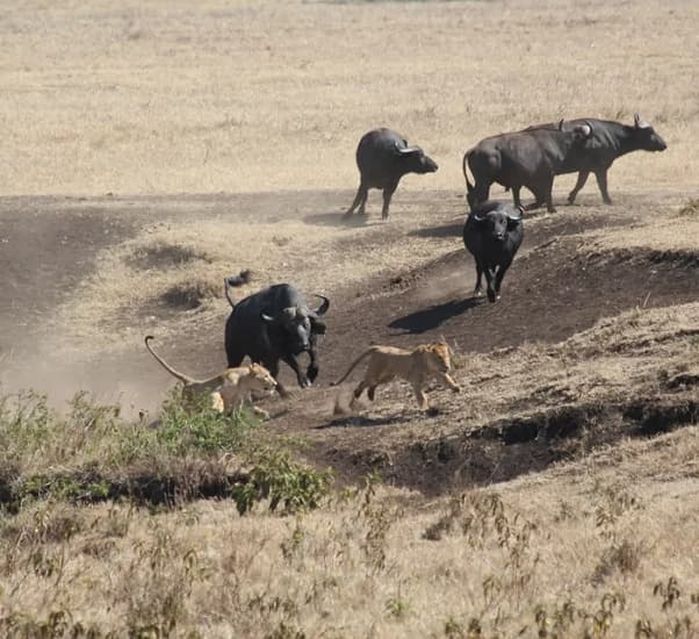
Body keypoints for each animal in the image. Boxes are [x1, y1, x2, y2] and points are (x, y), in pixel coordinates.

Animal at [462, 122, 592, 215]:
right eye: (582, 138)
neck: (557, 141)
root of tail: (474, 149)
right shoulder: (548, 175)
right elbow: (547, 193)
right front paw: (551, 209)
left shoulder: (527, 181)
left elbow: (537, 197)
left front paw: (526, 207)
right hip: (484, 182)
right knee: (476, 196)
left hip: (483, 183)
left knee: (475, 196)